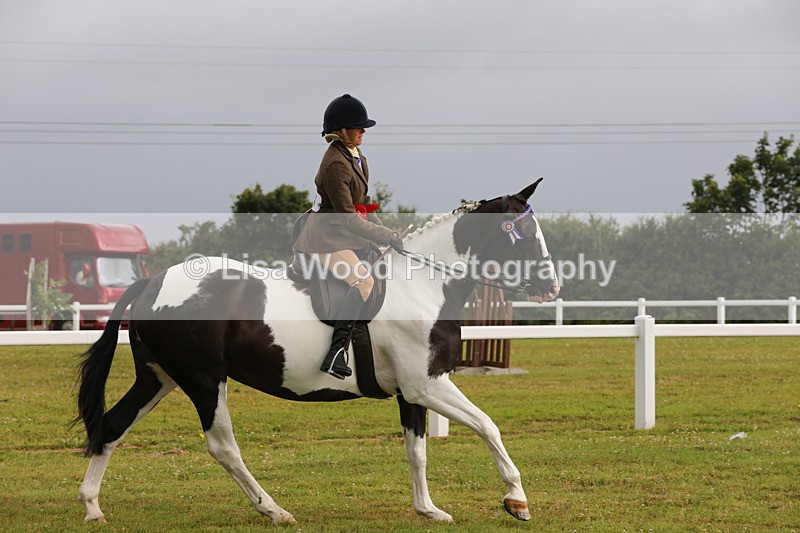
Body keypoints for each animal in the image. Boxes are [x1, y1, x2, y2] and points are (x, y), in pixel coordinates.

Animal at [74, 179, 560, 525]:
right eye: (523, 233)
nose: (552, 288)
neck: (424, 283)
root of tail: (152, 282)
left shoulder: (413, 392)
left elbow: (417, 451)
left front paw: (428, 509)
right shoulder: (429, 386)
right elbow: (488, 426)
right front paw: (517, 499)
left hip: (160, 377)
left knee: (113, 425)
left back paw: (92, 507)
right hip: (203, 381)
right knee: (223, 446)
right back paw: (273, 510)